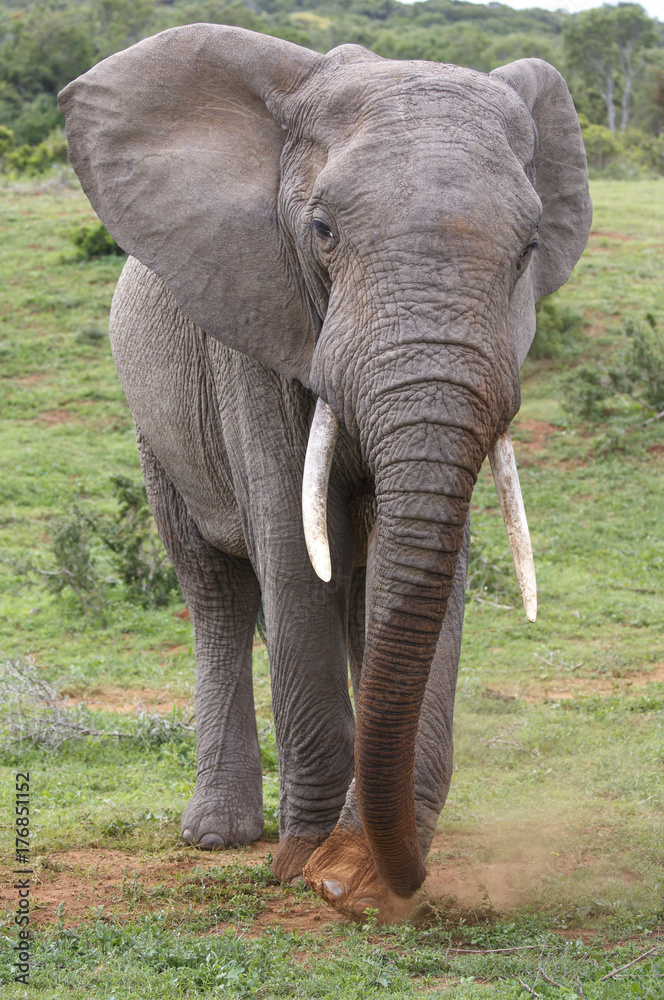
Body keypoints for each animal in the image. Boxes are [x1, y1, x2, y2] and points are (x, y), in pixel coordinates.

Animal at [58, 25, 591, 922]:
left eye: (528, 250)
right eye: (323, 231)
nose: (363, 881)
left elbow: (420, 576)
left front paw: (359, 873)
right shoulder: (249, 326)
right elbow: (292, 551)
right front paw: (307, 863)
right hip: (153, 425)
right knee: (216, 590)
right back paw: (220, 834)